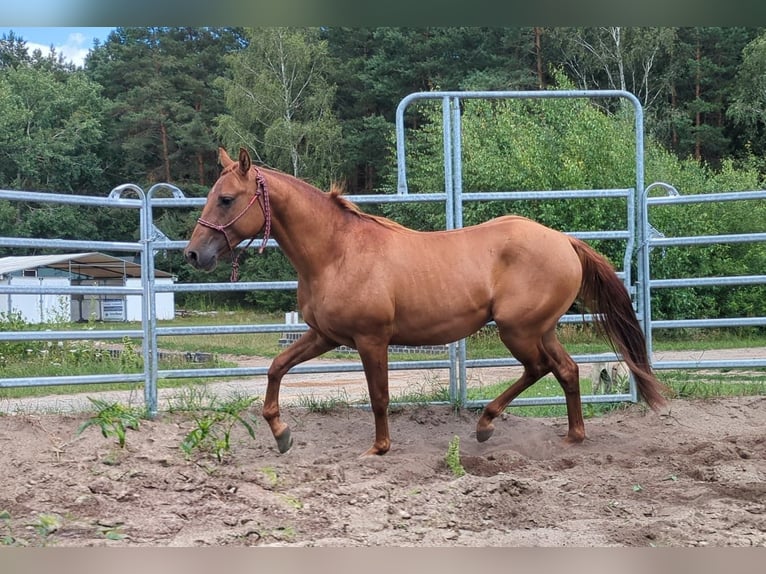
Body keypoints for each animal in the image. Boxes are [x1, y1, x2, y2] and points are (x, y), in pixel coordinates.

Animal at [184, 147, 668, 456]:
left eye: (226, 199)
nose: (193, 254)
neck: (337, 253)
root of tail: (565, 241)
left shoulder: (371, 339)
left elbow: (379, 396)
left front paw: (379, 448)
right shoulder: (324, 335)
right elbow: (276, 367)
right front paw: (282, 434)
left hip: (519, 330)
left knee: (540, 369)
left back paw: (486, 425)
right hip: (540, 329)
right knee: (565, 370)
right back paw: (571, 436)